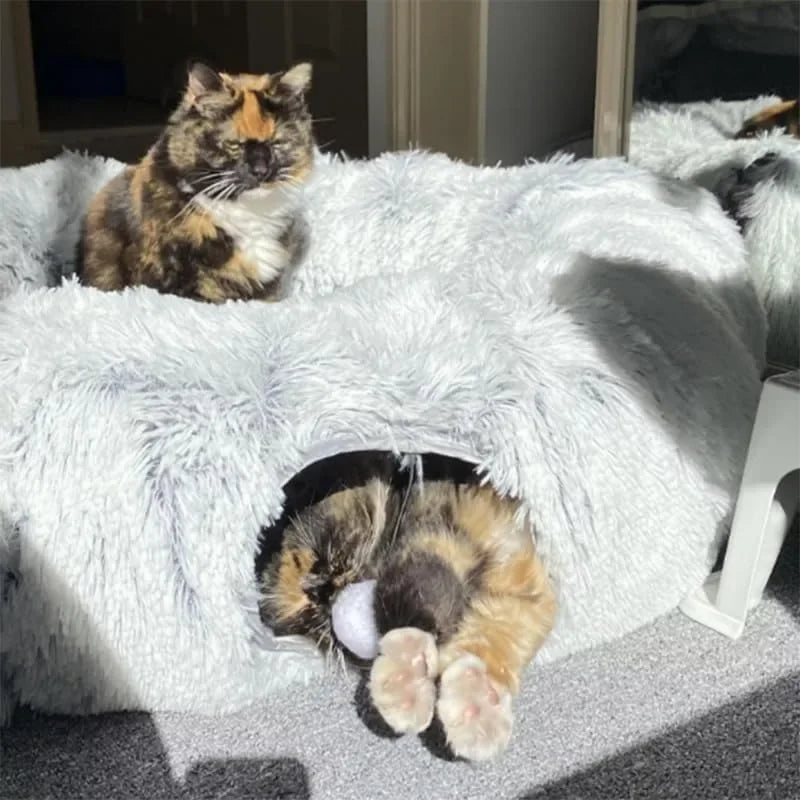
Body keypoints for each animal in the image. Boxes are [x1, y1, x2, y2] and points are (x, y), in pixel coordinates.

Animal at [258, 456, 556, 764]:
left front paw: (406, 673)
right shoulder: (520, 596)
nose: (320, 590)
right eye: (310, 615)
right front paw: (475, 705)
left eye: (319, 557)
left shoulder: (441, 528)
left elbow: (417, 586)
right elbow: (491, 640)